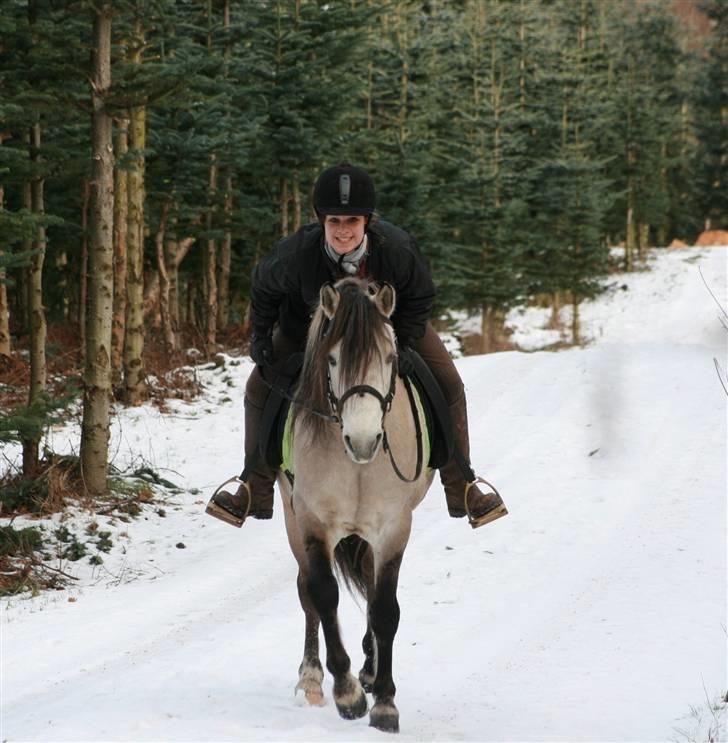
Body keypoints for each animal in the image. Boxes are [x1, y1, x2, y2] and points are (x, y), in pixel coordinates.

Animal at [278, 278, 436, 732]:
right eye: (331, 359)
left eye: (390, 356)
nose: (363, 441)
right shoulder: (312, 523)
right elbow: (323, 594)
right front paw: (347, 693)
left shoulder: (392, 529)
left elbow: (384, 608)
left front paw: (383, 702)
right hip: (292, 520)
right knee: (307, 593)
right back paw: (313, 678)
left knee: (368, 585)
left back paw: (369, 667)